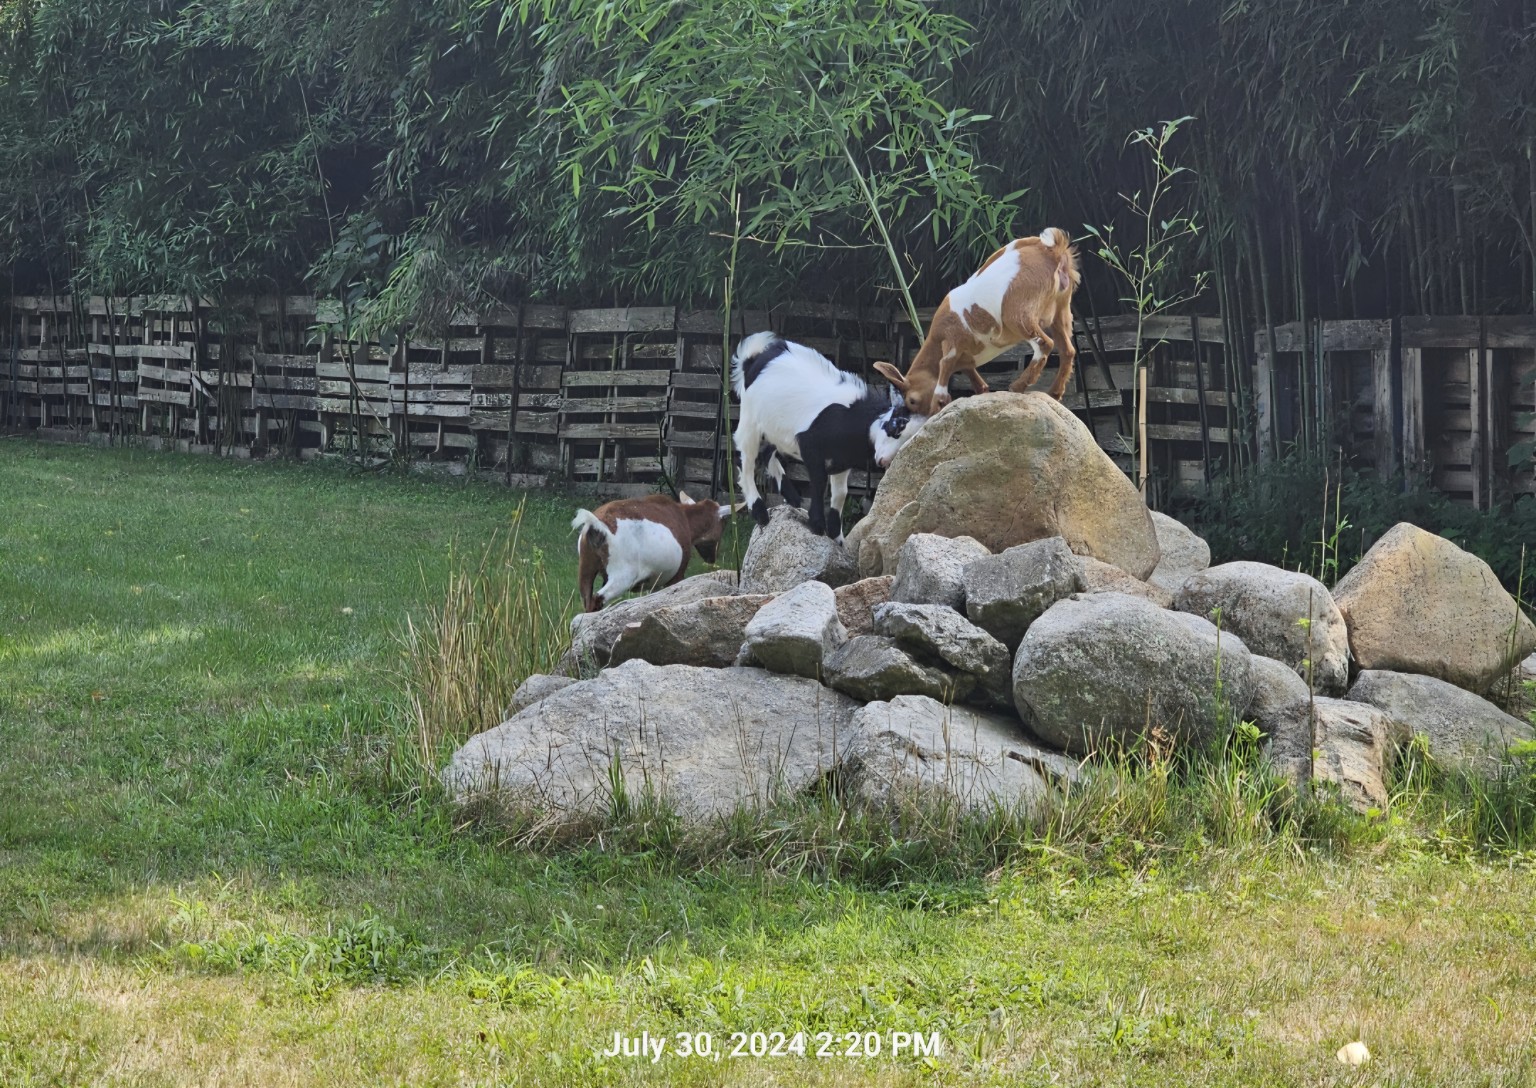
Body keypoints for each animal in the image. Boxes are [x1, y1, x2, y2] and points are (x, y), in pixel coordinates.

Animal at [571, 492, 740, 612]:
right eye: (723, 524)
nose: (712, 558)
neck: (684, 518)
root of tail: (596, 524)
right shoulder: (676, 576)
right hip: (622, 576)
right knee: (597, 599)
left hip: (586, 568)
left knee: (587, 602)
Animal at [732, 332, 927, 542]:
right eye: (896, 425)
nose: (883, 460)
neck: (853, 419)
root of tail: (752, 359)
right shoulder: (810, 444)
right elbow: (819, 482)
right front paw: (817, 525)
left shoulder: (841, 460)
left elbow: (841, 493)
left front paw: (837, 536)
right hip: (750, 418)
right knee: (746, 459)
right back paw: (760, 512)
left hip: (775, 428)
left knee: (767, 452)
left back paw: (793, 498)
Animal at [873, 229, 1081, 417]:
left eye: (912, 400)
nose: (922, 416)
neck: (935, 339)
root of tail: (1053, 252)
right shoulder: (966, 359)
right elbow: (979, 384)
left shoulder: (952, 339)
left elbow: (944, 367)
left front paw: (937, 406)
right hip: (1060, 311)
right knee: (1068, 350)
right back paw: (1054, 393)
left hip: (1018, 312)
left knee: (1044, 343)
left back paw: (1018, 386)